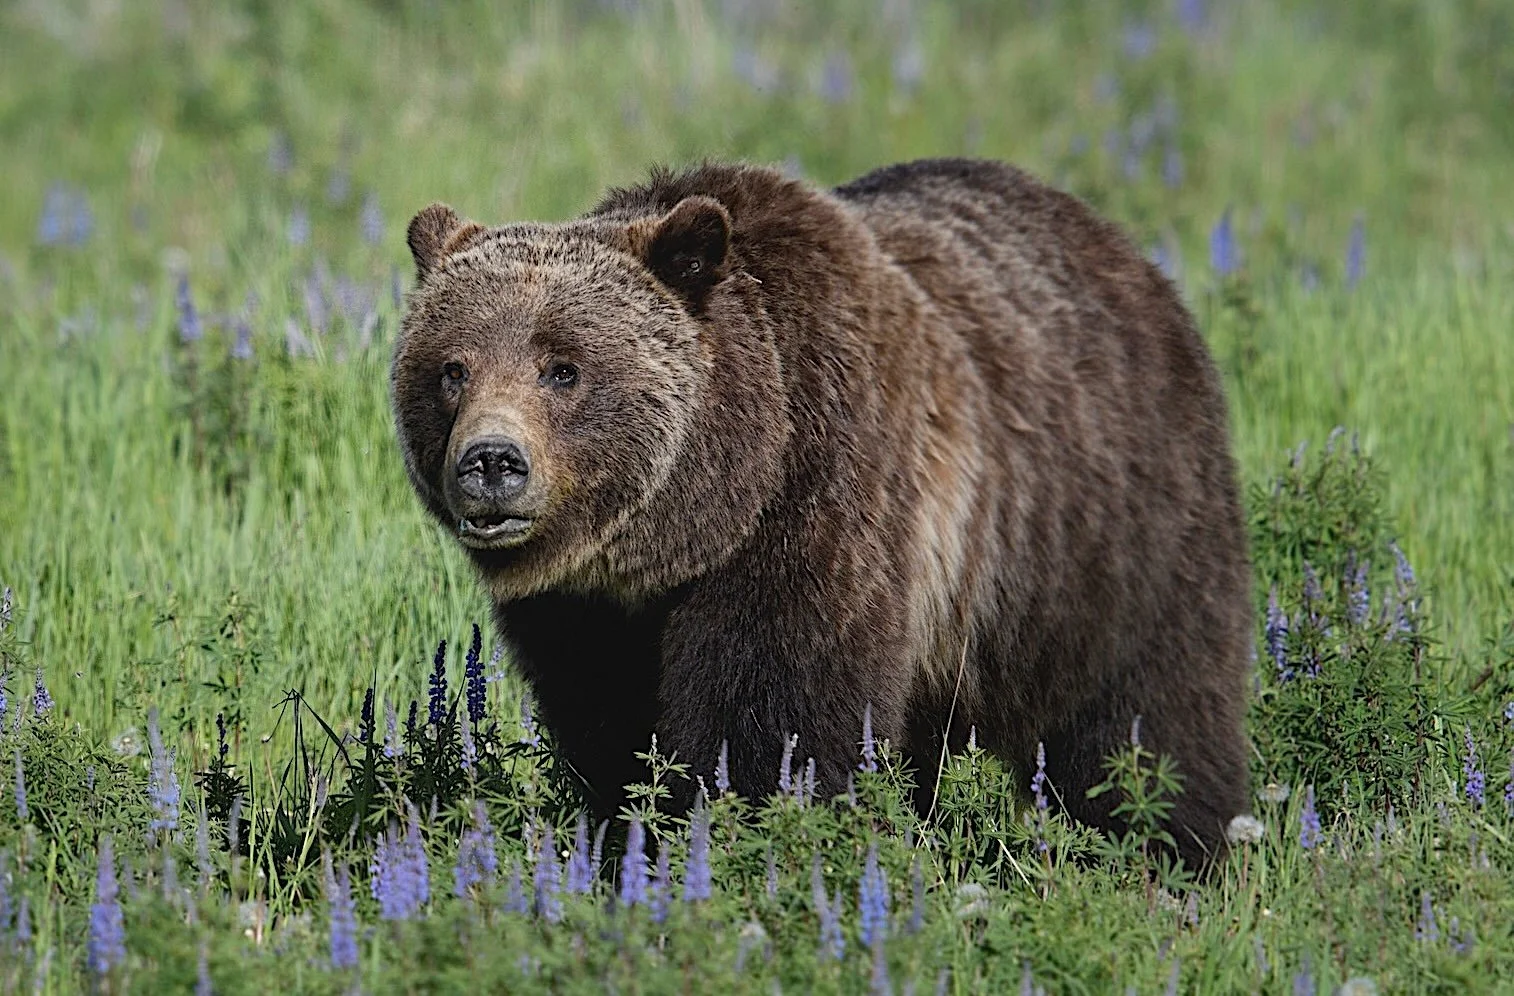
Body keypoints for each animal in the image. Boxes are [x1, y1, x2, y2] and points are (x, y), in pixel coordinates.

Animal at [392, 158, 1253, 867]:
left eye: (563, 368)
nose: (492, 462)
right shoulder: (582, 612)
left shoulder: (819, 502)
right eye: (451, 368)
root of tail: (1122, 247)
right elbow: (610, 731)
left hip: (1109, 539)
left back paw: (1173, 850)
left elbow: (775, 722)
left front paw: (754, 843)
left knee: (1150, 716)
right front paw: (625, 844)